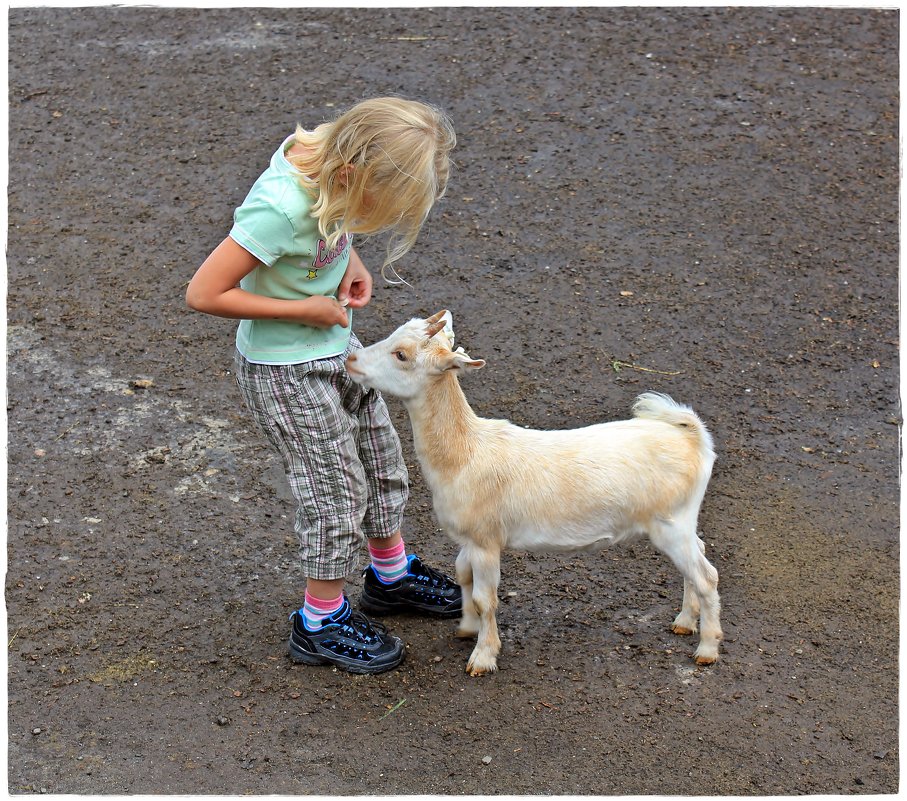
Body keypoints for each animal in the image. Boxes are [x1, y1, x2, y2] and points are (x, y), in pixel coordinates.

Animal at [348, 310, 724, 672]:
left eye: (401, 355)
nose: (351, 360)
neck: (465, 452)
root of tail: (691, 436)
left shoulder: (486, 541)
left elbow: (486, 599)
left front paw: (483, 656)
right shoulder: (471, 539)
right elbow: (463, 576)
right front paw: (467, 628)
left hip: (671, 523)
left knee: (707, 577)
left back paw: (707, 649)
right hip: (679, 523)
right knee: (697, 558)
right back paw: (684, 621)